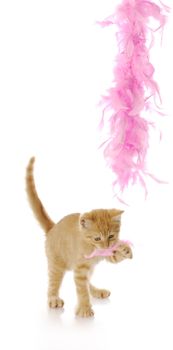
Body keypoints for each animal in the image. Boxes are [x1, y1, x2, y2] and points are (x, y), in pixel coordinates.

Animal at [25, 158, 132, 318]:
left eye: (111, 236)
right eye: (97, 238)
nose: (106, 246)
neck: (93, 248)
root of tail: (53, 227)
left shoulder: (103, 257)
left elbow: (113, 258)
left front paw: (125, 249)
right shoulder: (80, 268)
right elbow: (81, 290)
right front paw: (84, 309)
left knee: (87, 282)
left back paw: (97, 291)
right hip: (56, 264)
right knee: (53, 282)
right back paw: (53, 298)